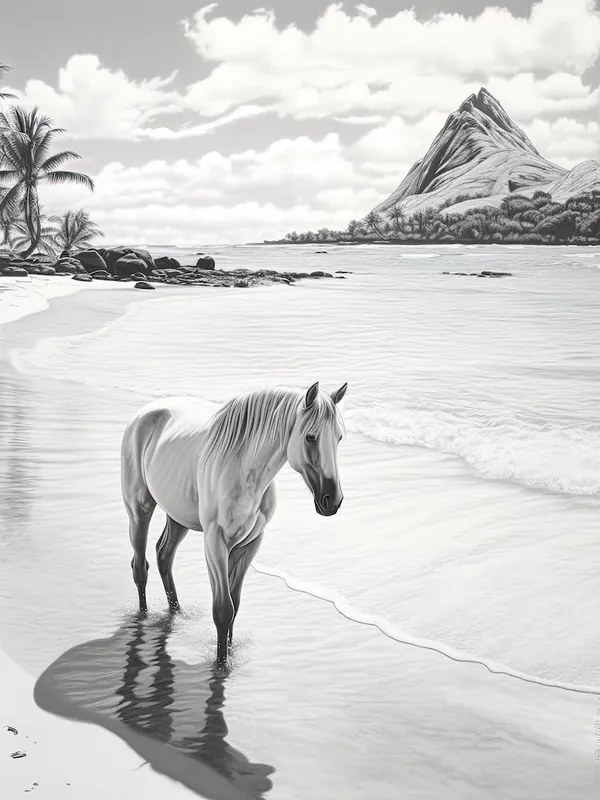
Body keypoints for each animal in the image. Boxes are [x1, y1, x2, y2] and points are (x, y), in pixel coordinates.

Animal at [120, 381, 348, 665]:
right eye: (310, 437)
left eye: (339, 438)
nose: (332, 501)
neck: (244, 473)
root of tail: (145, 413)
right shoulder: (215, 544)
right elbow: (223, 609)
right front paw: (221, 663)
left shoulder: (249, 544)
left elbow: (235, 605)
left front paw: (229, 652)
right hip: (139, 510)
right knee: (140, 566)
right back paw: (143, 617)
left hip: (177, 517)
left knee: (164, 555)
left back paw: (176, 613)